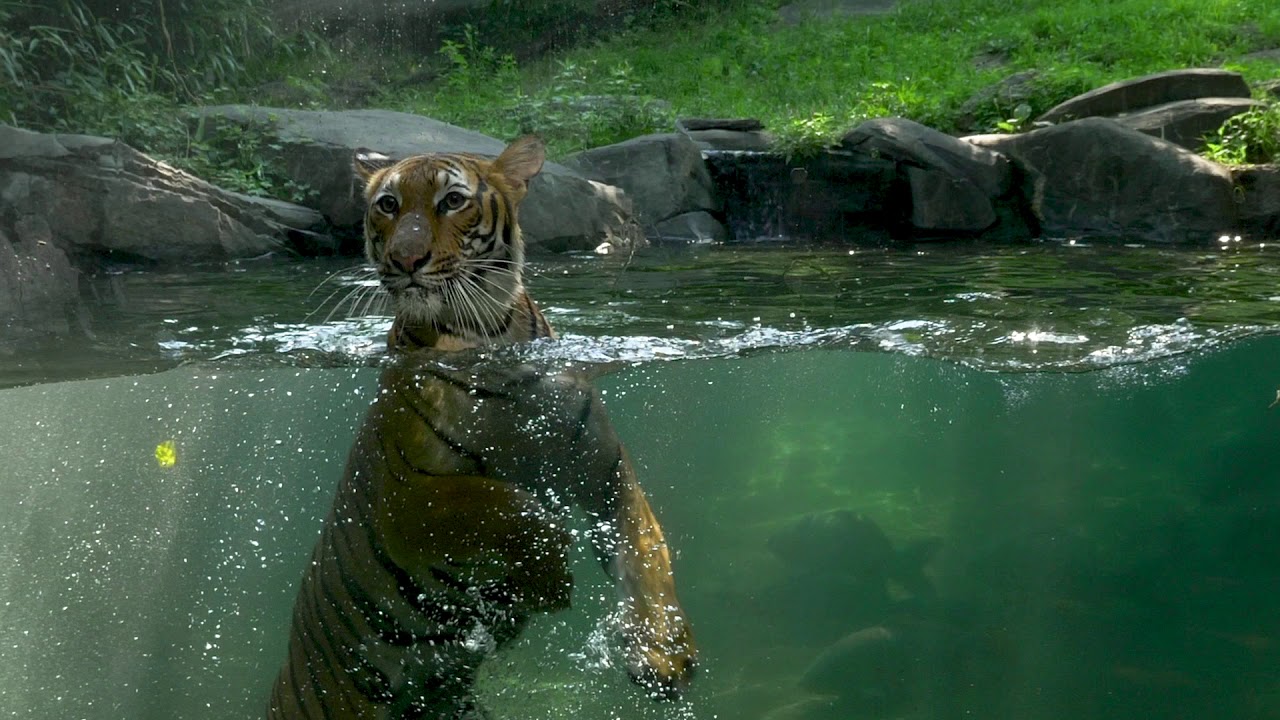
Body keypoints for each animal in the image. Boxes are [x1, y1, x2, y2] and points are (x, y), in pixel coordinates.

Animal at [267, 135, 696, 719]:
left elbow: (646, 547)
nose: (405, 259)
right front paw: (550, 578)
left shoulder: (606, 471)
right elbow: (502, 503)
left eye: (452, 201)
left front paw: (664, 652)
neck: (490, 340)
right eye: (387, 205)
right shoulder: (405, 497)